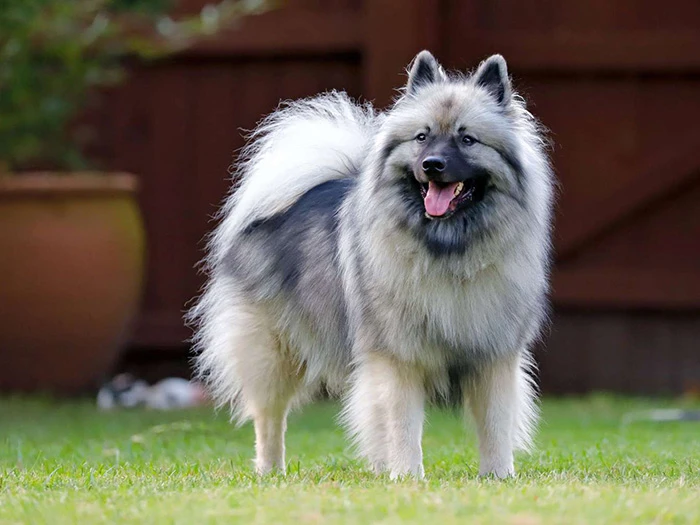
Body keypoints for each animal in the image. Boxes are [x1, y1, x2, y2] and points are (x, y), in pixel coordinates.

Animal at [189, 51, 556, 476]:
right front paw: (409, 476)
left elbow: (495, 424)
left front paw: (498, 477)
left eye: (467, 139)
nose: (432, 164)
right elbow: (403, 425)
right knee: (269, 418)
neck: (448, 250)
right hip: (272, 353)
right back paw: (271, 472)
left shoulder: (493, 357)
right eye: (422, 137)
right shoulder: (398, 357)